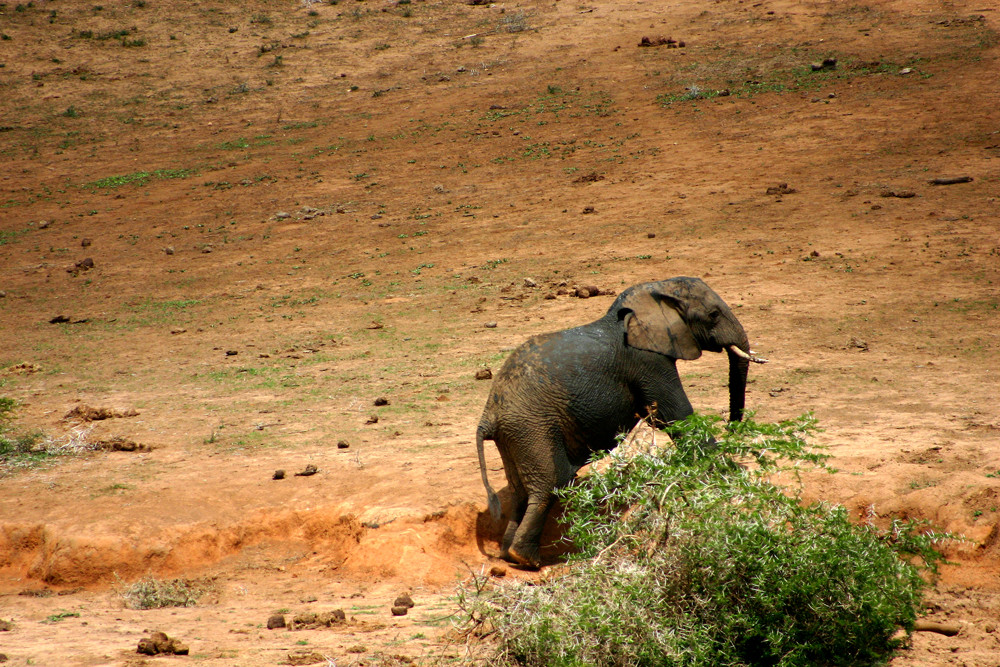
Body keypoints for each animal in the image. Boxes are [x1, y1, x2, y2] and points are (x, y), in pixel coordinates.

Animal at [476, 276, 764, 568]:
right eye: (713, 314)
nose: (731, 426)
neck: (654, 293)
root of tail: (489, 415)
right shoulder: (647, 360)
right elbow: (677, 414)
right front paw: (729, 469)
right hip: (532, 425)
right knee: (550, 484)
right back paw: (527, 559)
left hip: (514, 434)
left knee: (520, 492)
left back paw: (508, 554)